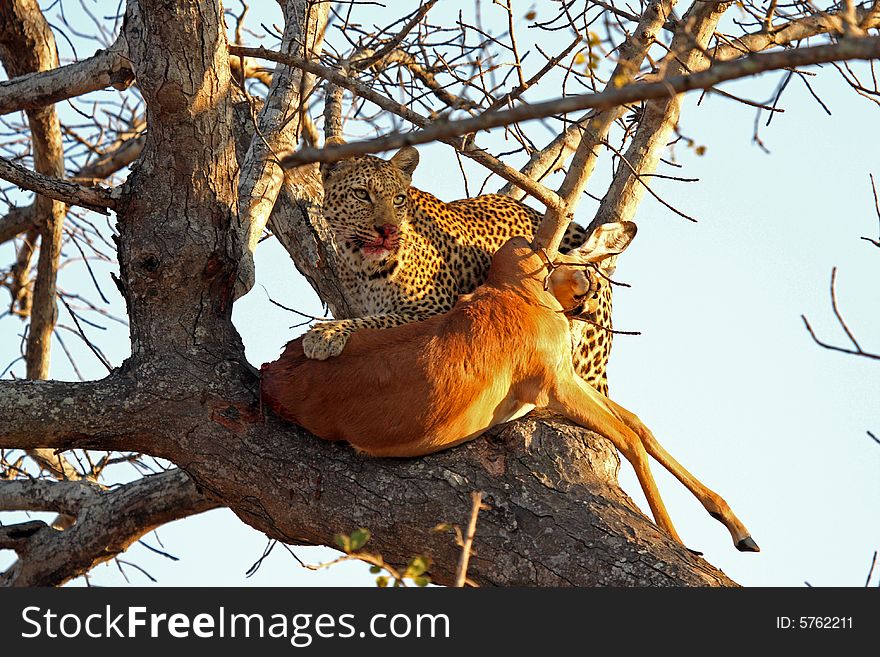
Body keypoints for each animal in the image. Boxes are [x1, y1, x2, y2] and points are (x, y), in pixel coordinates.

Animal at [306, 142, 624, 394]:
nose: (388, 230)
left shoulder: (433, 310)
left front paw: (326, 333)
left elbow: (377, 321)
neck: (359, 263)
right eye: (361, 194)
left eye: (398, 199)